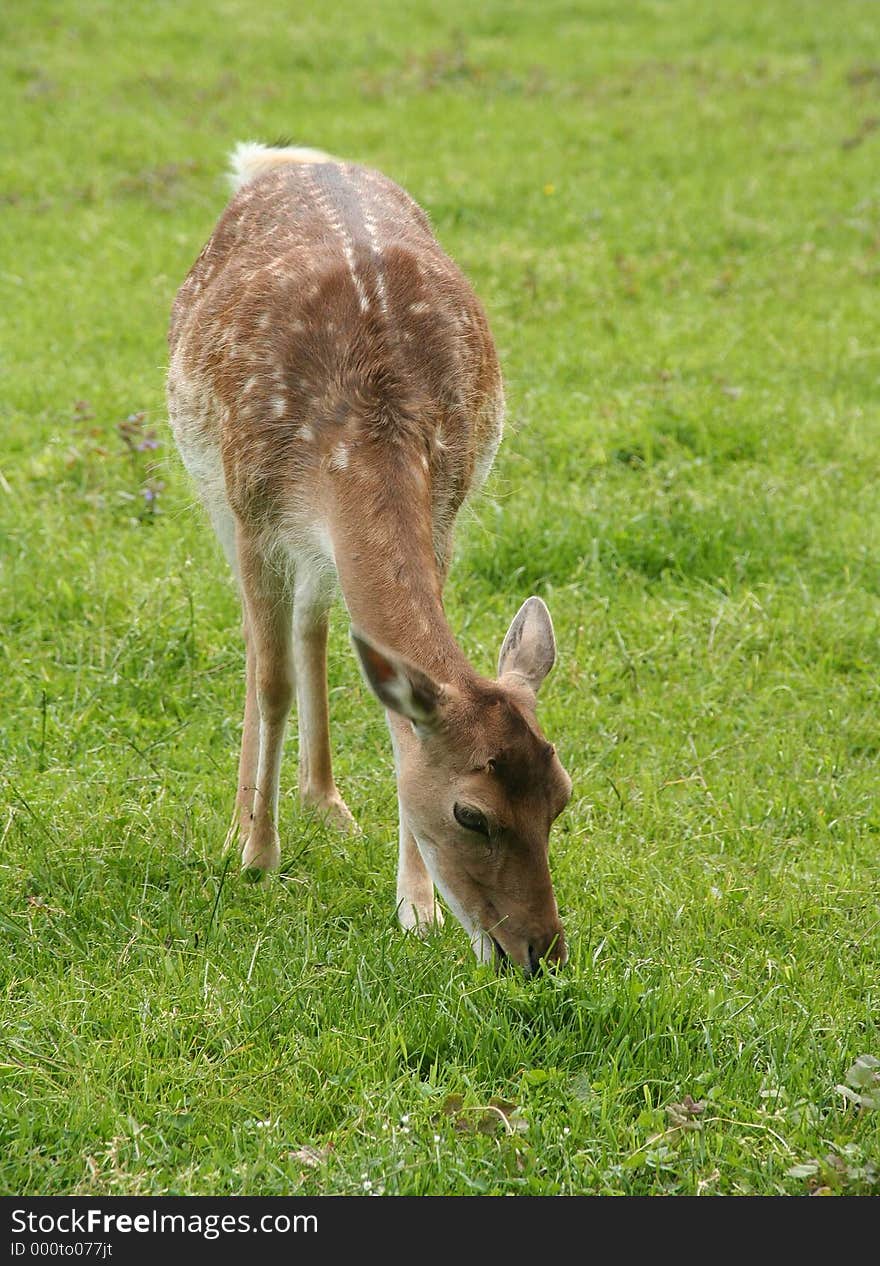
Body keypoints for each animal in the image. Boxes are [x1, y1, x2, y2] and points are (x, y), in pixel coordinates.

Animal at [168, 138, 574, 972]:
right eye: (472, 814)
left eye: (562, 796)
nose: (540, 952)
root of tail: (280, 158)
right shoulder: (255, 514)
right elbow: (270, 682)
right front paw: (257, 859)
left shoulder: (445, 511)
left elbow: (391, 707)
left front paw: (417, 907)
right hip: (213, 490)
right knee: (261, 643)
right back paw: (241, 824)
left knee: (315, 624)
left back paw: (326, 802)